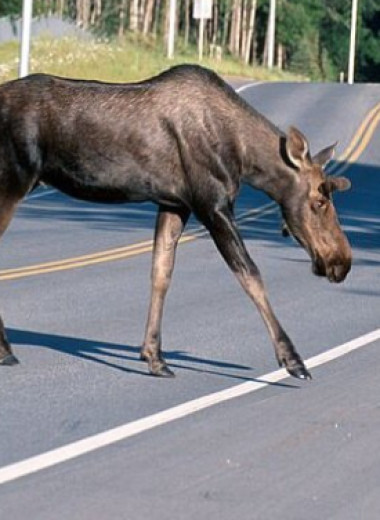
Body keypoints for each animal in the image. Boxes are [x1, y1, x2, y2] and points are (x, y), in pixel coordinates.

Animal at [0, 67, 352, 380]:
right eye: (319, 202)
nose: (341, 262)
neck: (244, 157)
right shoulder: (211, 204)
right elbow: (250, 275)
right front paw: (293, 360)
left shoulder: (175, 204)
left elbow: (161, 273)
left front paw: (154, 357)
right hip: (13, 182)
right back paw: (6, 350)